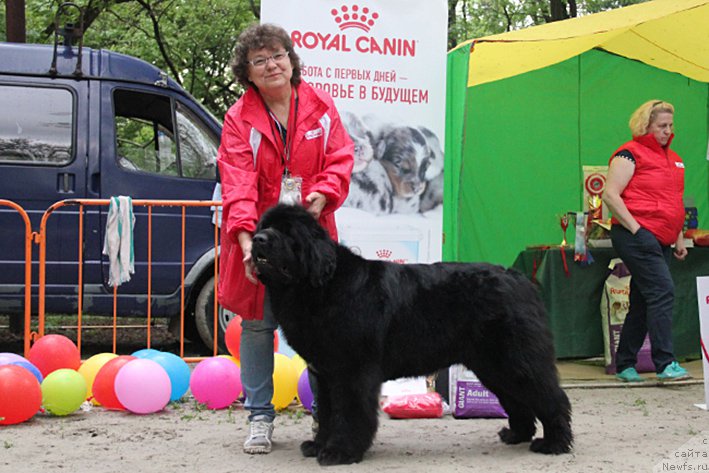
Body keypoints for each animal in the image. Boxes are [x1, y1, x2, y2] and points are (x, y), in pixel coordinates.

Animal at [252, 204, 572, 464]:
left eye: (286, 231)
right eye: (263, 226)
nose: (258, 239)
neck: (322, 285)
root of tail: (520, 279)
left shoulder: (352, 372)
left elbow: (349, 414)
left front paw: (341, 452)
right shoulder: (325, 374)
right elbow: (328, 414)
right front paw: (318, 445)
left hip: (515, 360)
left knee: (550, 396)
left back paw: (554, 443)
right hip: (493, 366)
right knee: (518, 400)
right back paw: (516, 434)